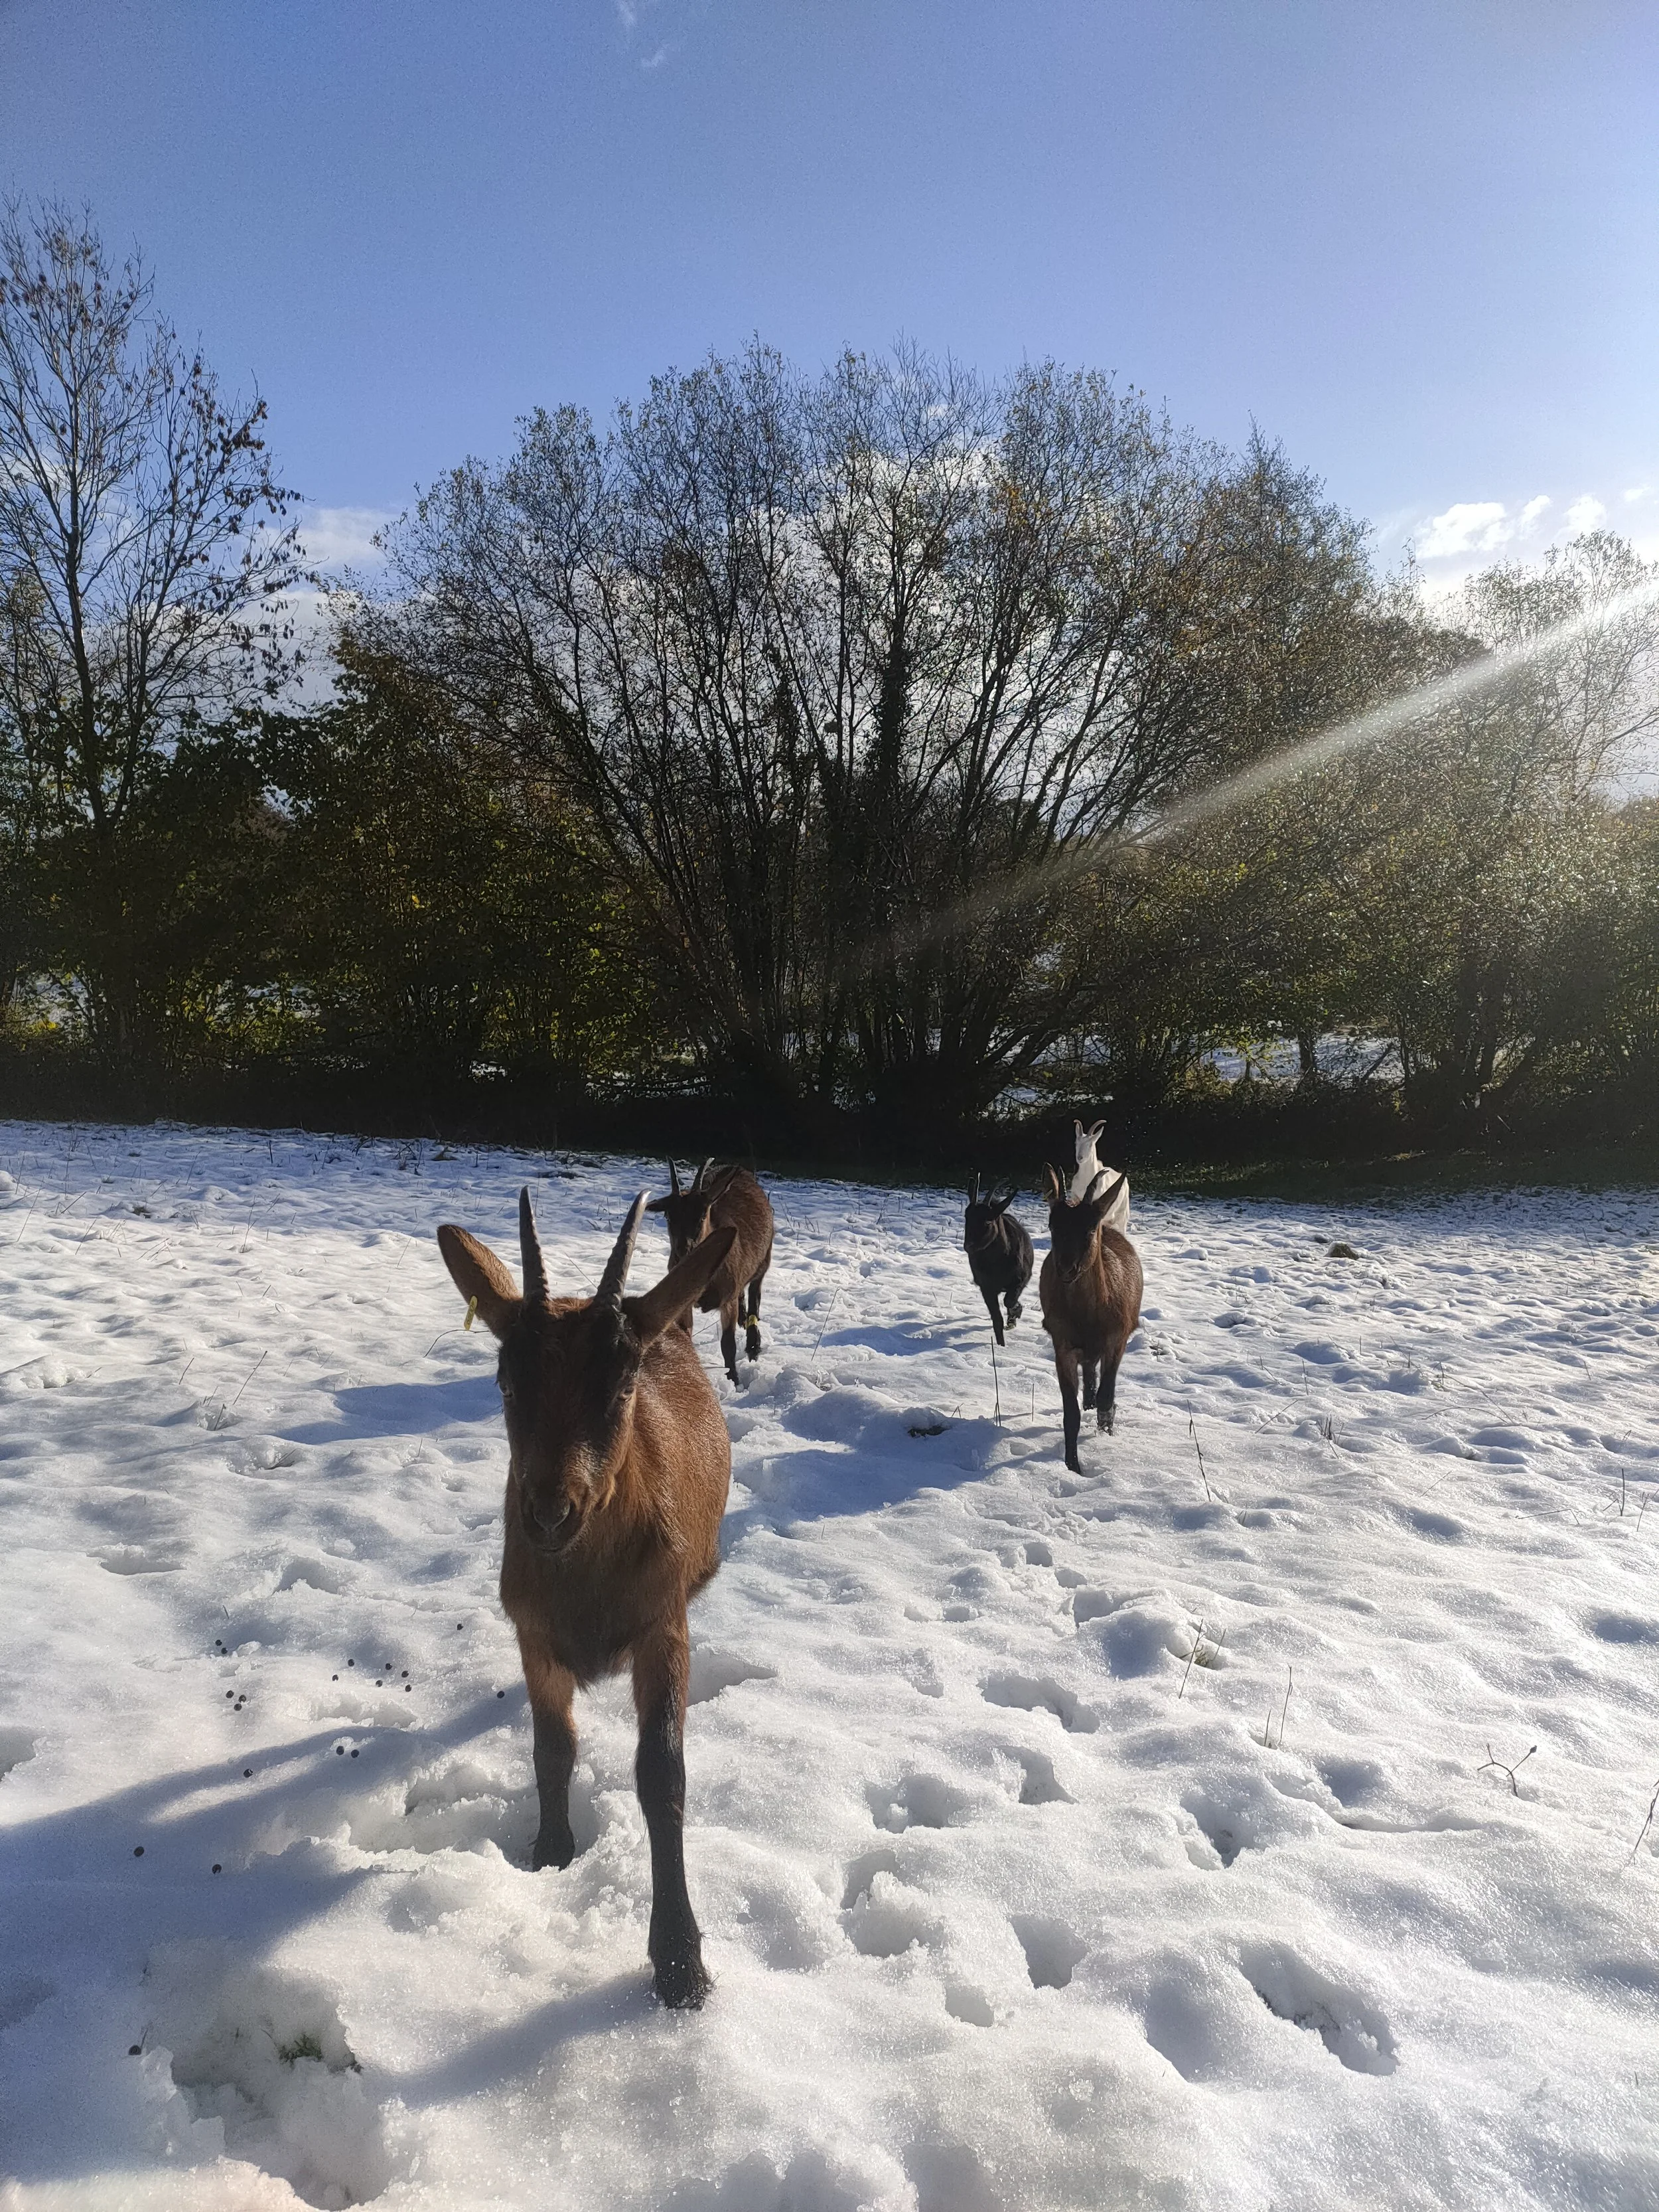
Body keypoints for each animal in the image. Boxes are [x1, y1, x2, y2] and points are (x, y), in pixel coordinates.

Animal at [436, 1187, 738, 2009]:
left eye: (622, 1384)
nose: (549, 1513)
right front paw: (550, 1848)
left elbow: (661, 1774)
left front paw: (679, 1964)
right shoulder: (533, 1635)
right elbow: (552, 1746)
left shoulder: (663, 1629)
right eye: (506, 1381)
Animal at [646, 1159, 775, 1387]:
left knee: (755, 1293)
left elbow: (728, 1344)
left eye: (703, 1214)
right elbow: (686, 1336)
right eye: (668, 1216)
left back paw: (753, 1344)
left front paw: (734, 1379)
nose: (683, 1250)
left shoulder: (727, 1299)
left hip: (765, 1258)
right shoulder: (684, 1303)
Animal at [963, 1172, 1034, 1348]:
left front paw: (1016, 1313)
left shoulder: (1020, 1280)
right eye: (966, 1216)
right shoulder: (986, 1287)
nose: (969, 1246)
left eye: (988, 1221)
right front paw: (1001, 1345)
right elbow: (996, 1318)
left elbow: (1009, 1301)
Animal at [1039, 1164, 1143, 1473]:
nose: (1066, 1268)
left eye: (1089, 1228)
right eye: (1053, 1226)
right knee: (1088, 1369)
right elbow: (1070, 1415)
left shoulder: (1117, 1339)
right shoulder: (1062, 1345)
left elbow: (1108, 1400)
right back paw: (1088, 1399)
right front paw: (1073, 1466)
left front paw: (1106, 1437)